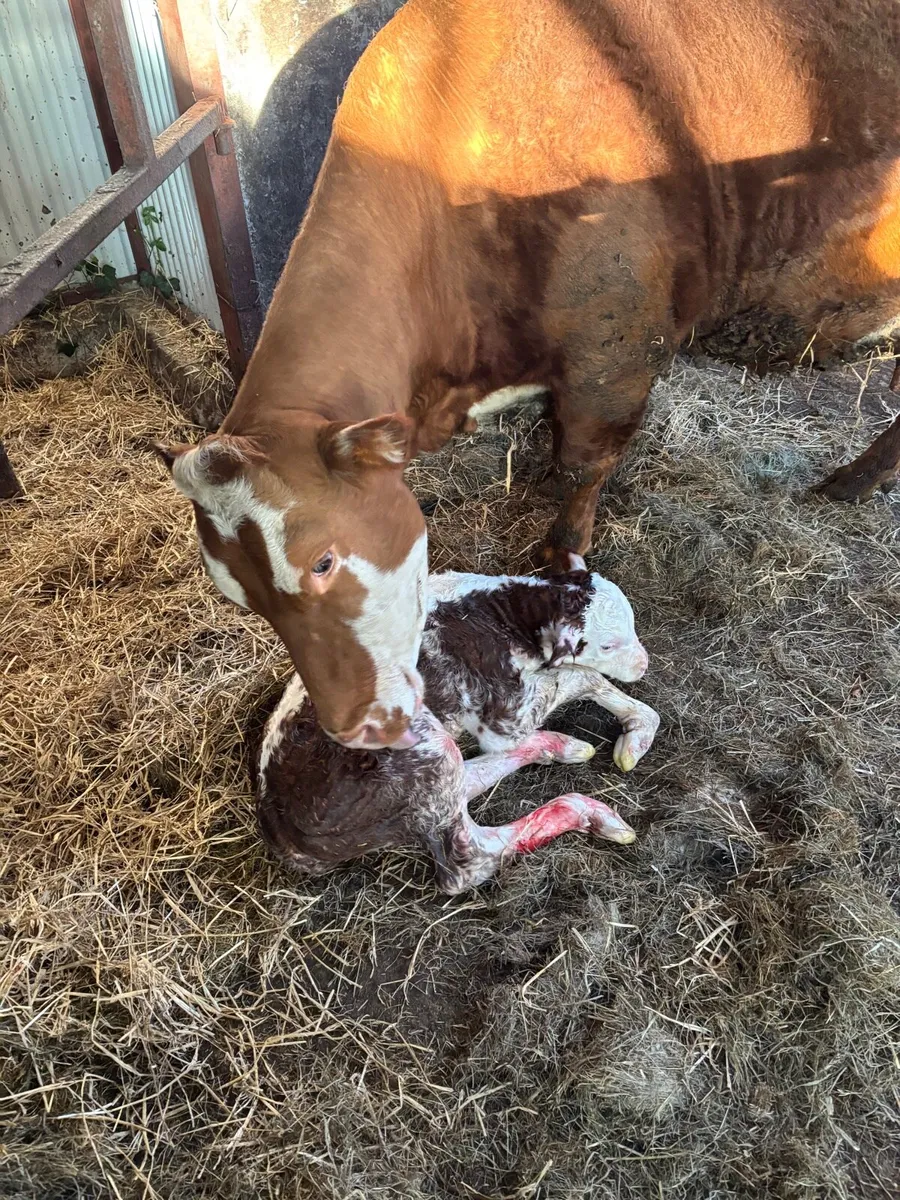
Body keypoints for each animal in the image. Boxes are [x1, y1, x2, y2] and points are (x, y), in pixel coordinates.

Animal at [156, 0, 900, 751]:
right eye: (234, 591)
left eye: (322, 562)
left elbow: (580, 470)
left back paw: (852, 481)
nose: (352, 728)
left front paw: (561, 557)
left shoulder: (615, 356)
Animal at [255, 563, 656, 893]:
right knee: (467, 863)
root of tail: (281, 833)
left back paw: (559, 747)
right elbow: (580, 675)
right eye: (608, 645)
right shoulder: (504, 714)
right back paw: (589, 811)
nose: (643, 664)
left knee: (462, 785)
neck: (501, 610)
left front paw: (640, 729)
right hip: (420, 748)